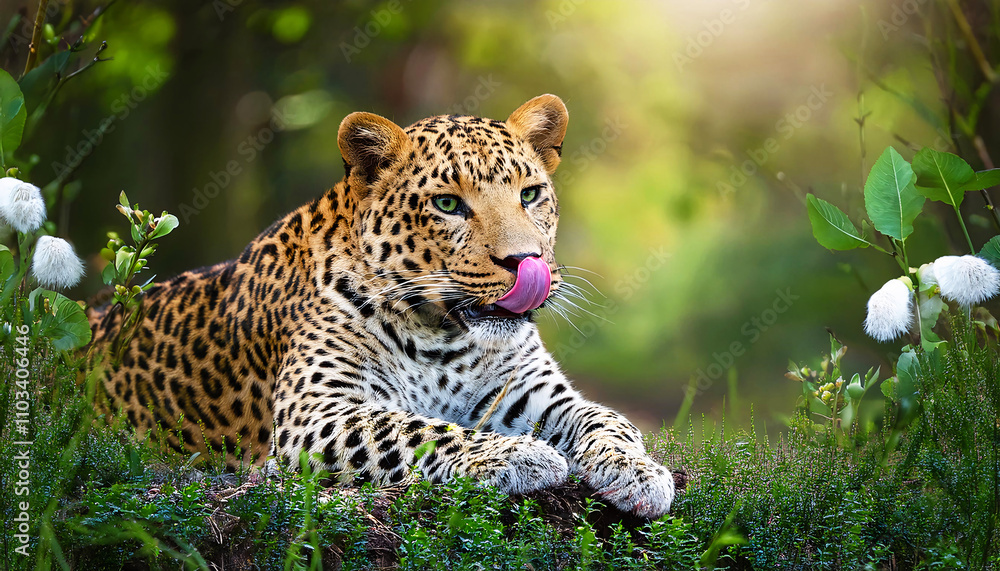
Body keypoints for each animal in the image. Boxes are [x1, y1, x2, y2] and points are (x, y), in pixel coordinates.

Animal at [87, 94, 675, 517]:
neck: (446, 338)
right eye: (447, 204)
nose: (525, 261)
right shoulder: (315, 414)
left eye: (529, 195)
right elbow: (417, 429)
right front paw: (519, 455)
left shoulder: (532, 392)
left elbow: (607, 418)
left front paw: (639, 471)